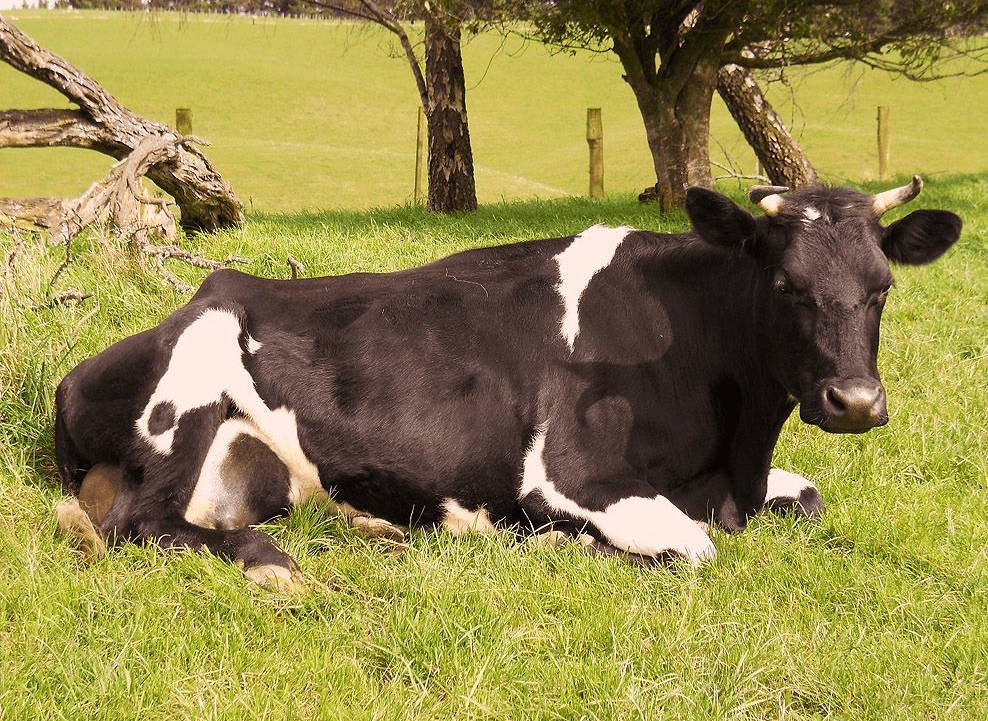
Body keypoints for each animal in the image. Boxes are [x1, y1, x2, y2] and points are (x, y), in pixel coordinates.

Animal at [50, 176, 960, 592]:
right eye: (785, 284)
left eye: (882, 285)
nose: (855, 402)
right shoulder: (570, 472)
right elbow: (693, 547)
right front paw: (559, 540)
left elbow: (808, 498)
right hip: (191, 385)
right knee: (144, 523)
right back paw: (270, 559)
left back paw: (370, 528)